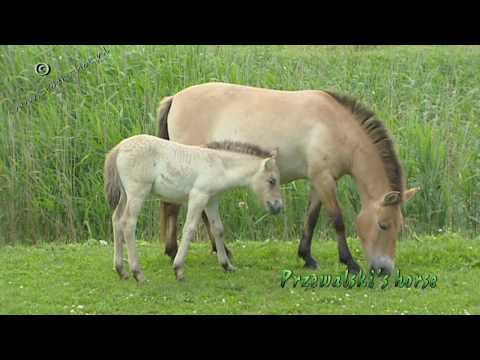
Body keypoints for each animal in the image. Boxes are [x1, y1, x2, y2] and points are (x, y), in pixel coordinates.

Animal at [105, 135, 284, 282]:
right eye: (272, 180)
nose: (278, 206)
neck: (219, 164)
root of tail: (118, 148)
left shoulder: (212, 200)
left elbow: (218, 229)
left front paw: (227, 265)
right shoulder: (199, 196)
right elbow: (189, 229)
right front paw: (178, 270)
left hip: (125, 195)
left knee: (116, 220)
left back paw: (121, 271)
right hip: (137, 193)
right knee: (128, 223)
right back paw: (138, 273)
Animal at [157, 83, 416, 276]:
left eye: (399, 226)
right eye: (383, 225)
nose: (385, 269)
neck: (335, 127)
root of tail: (175, 98)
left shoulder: (319, 180)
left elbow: (311, 218)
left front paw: (307, 257)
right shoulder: (324, 179)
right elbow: (337, 220)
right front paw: (350, 263)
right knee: (176, 207)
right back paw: (174, 251)